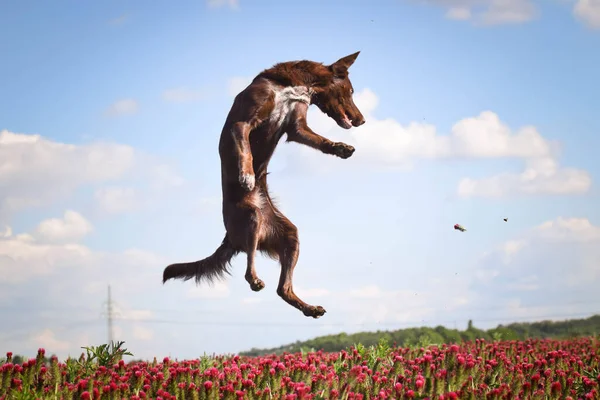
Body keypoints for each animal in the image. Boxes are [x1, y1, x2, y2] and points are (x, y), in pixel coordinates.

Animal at [162, 51, 364, 318]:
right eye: (350, 91)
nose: (363, 120)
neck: (295, 85)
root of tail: (229, 237)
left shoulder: (296, 126)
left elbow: (318, 140)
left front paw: (340, 148)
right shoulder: (243, 122)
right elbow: (245, 149)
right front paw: (246, 175)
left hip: (290, 235)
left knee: (283, 289)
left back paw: (310, 308)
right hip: (251, 217)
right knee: (250, 264)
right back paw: (256, 279)